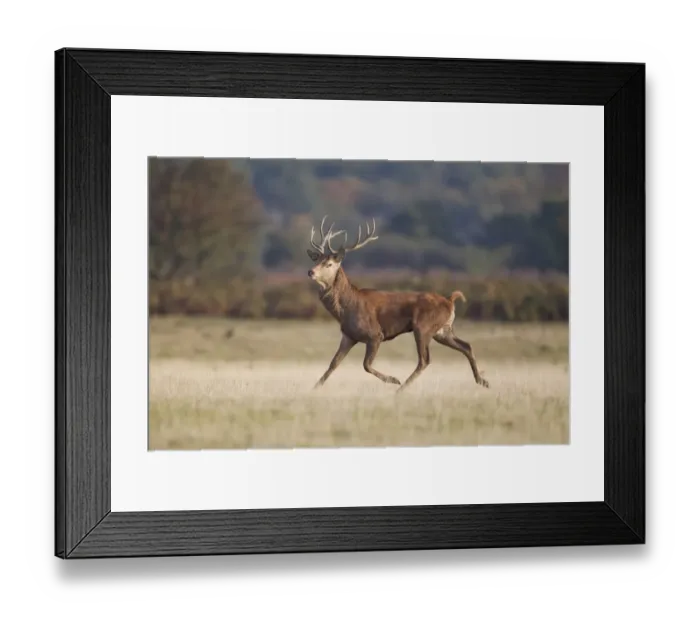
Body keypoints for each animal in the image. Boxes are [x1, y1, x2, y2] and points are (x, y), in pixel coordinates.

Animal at [306, 216, 490, 393]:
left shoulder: (375, 334)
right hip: (443, 330)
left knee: (425, 360)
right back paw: (482, 381)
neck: (346, 309)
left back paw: (400, 389)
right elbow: (333, 364)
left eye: (329, 264)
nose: (310, 271)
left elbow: (366, 365)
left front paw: (393, 379)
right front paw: (314, 388)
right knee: (466, 346)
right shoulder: (349, 336)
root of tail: (450, 300)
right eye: (317, 260)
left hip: (423, 326)